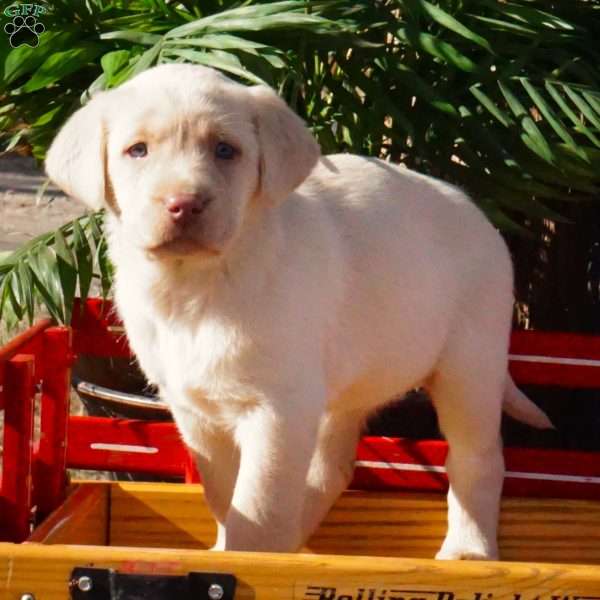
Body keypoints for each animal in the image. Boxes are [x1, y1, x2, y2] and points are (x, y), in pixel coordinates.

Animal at [48, 63, 552, 560]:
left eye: (225, 150)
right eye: (137, 150)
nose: (184, 204)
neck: (200, 287)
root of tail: (478, 213)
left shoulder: (279, 409)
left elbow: (259, 507)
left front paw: (254, 562)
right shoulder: (197, 412)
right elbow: (225, 495)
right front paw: (227, 547)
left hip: (469, 364)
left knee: (476, 459)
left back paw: (469, 550)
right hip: (345, 382)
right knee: (332, 466)